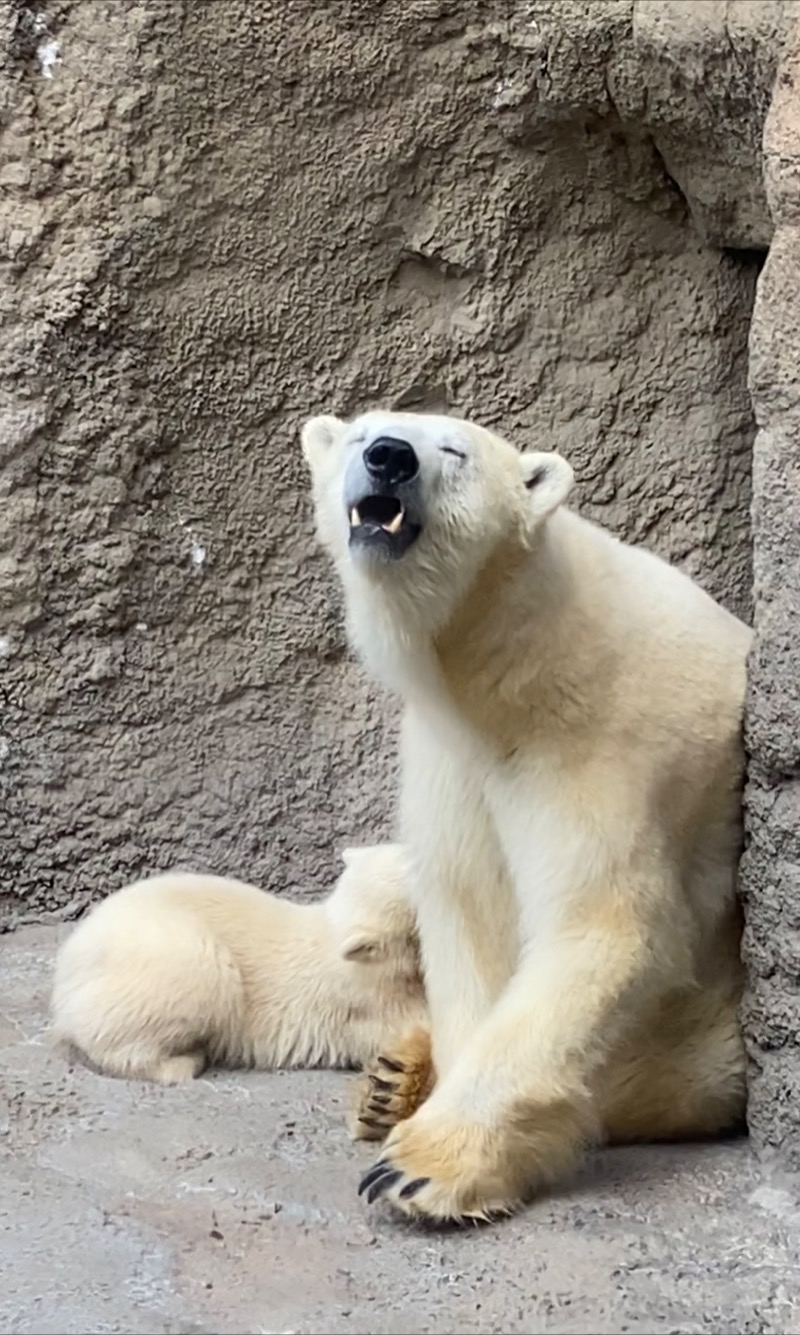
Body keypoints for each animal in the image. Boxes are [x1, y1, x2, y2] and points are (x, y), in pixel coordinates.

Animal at [303, 405, 753, 1222]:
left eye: (454, 451)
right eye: (362, 433)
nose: (389, 457)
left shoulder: (601, 746)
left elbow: (604, 924)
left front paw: (419, 1168)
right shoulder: (453, 756)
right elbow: (467, 909)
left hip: (703, 1042)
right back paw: (392, 1080)